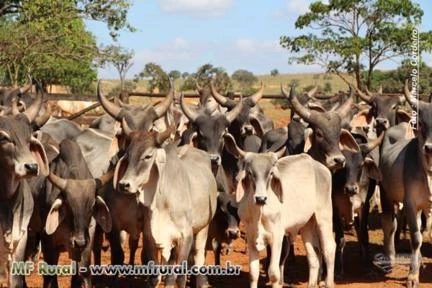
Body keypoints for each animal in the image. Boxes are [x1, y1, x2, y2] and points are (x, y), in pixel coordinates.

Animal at [114, 124, 218, 288]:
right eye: (128, 156)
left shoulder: (186, 236)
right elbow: (154, 276)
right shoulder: (150, 237)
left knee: (198, 256)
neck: (162, 203)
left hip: (203, 227)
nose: (124, 184)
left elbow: (181, 277)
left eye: (148, 156)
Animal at [224, 134, 336, 288]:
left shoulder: (277, 236)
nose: (261, 198)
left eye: (270, 173)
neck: (259, 212)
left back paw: (329, 282)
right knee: (313, 255)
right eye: (250, 173)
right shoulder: (251, 236)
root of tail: (317, 165)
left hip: (324, 215)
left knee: (329, 248)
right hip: (307, 223)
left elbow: (274, 273)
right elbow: (253, 274)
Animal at [378, 81, 432, 288]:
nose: (429, 148)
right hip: (386, 193)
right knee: (389, 224)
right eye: (422, 123)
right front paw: (412, 276)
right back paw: (390, 258)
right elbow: (415, 238)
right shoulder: (409, 203)